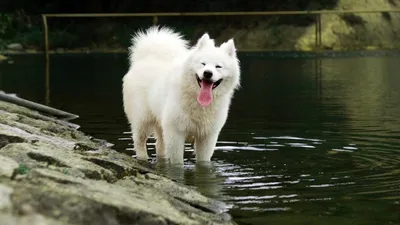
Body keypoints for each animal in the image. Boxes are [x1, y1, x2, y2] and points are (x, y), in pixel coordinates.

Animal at [122, 26, 241, 164]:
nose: (207, 73)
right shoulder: (175, 133)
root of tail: (146, 57)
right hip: (143, 119)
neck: (197, 101)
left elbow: (203, 162)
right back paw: (143, 158)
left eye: (218, 66)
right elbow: (177, 162)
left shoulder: (207, 136)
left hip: (161, 123)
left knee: (159, 145)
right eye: (203, 64)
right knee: (139, 141)